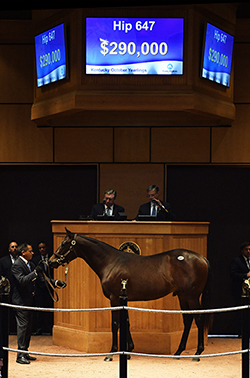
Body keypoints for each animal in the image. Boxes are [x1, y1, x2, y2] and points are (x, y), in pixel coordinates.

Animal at [49, 227, 213, 360]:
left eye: (64, 243)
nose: (51, 261)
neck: (111, 262)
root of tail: (202, 258)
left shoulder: (114, 299)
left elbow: (115, 323)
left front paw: (112, 353)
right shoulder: (123, 299)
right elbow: (126, 322)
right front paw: (128, 352)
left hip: (192, 296)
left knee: (198, 319)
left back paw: (197, 353)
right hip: (182, 295)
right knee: (188, 319)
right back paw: (178, 352)